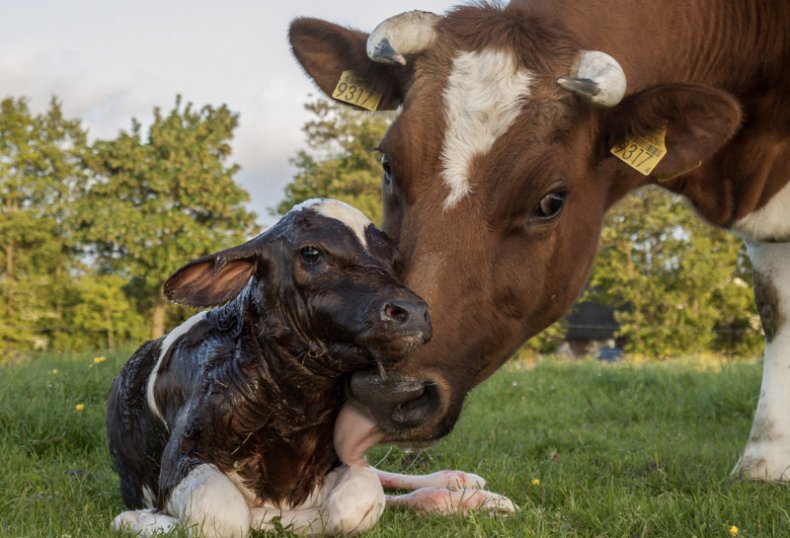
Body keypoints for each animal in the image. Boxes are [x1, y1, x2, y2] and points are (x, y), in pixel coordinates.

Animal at [290, 2, 790, 480]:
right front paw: (765, 462)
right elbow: (773, 306)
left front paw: (765, 462)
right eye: (389, 165)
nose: (387, 389)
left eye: (550, 201)